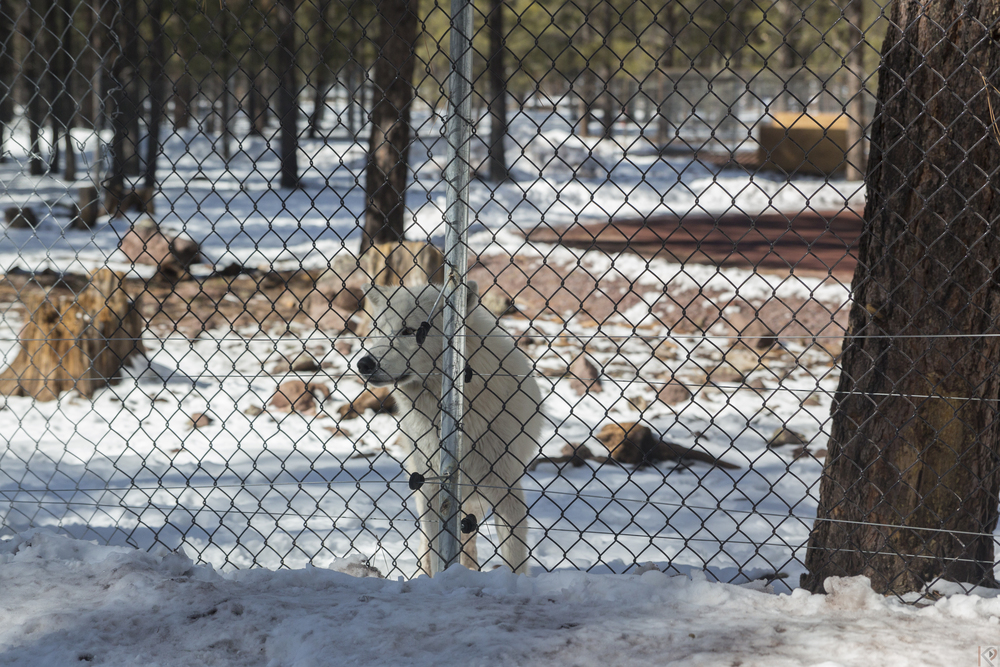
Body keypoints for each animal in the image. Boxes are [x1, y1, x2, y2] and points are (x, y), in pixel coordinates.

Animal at [356, 282, 544, 576]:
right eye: (378, 331)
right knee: (430, 542)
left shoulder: (505, 489)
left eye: (408, 331)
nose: (364, 364)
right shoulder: (432, 487)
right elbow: (435, 552)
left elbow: (514, 558)